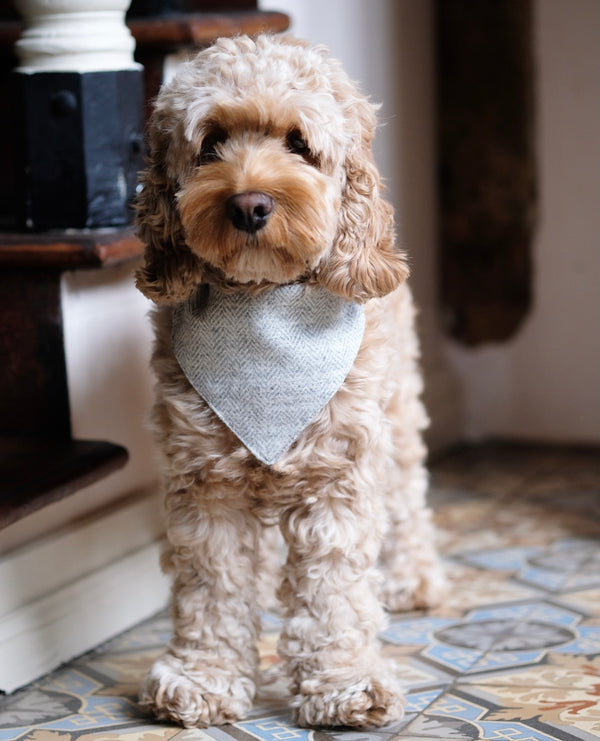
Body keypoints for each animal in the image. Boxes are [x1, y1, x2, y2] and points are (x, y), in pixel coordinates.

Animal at [136, 33, 446, 728]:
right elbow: (212, 586)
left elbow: (334, 591)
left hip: (398, 411)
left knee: (409, 496)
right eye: (211, 144)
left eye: (298, 143)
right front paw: (204, 677)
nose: (249, 205)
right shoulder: (204, 484)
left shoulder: (338, 477)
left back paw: (413, 577)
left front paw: (343, 684)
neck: (262, 307)